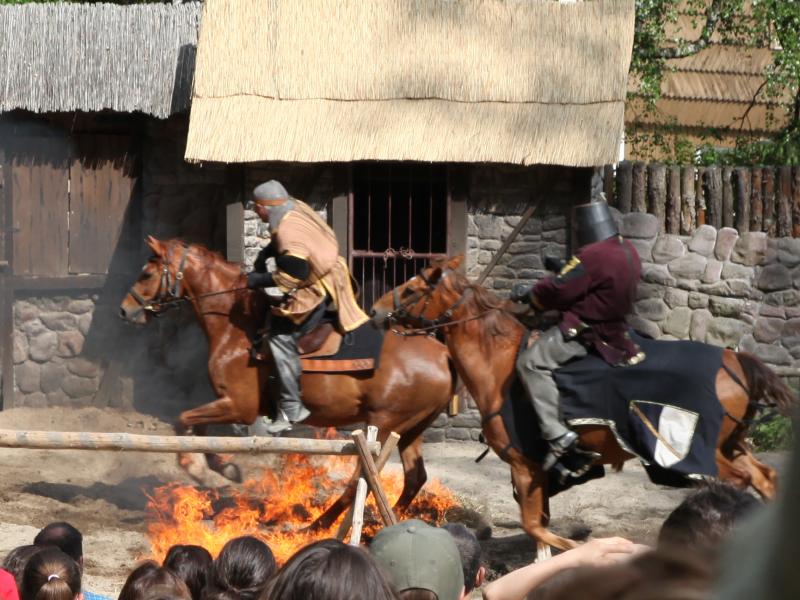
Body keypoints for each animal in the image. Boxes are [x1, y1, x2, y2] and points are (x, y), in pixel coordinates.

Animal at [119, 236, 455, 530]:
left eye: (146, 273)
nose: (125, 309)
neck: (236, 327)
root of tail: (442, 353)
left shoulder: (238, 407)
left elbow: (183, 420)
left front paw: (200, 469)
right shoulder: (226, 405)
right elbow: (199, 432)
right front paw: (227, 468)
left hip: (383, 426)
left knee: (362, 477)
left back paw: (318, 524)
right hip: (410, 430)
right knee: (414, 477)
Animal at [370, 255, 797, 552]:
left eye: (412, 289)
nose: (376, 311)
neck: (498, 362)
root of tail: (735, 361)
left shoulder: (524, 466)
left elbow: (536, 527)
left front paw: (579, 549)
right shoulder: (536, 472)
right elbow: (538, 528)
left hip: (695, 451)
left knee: (740, 483)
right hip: (732, 444)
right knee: (764, 477)